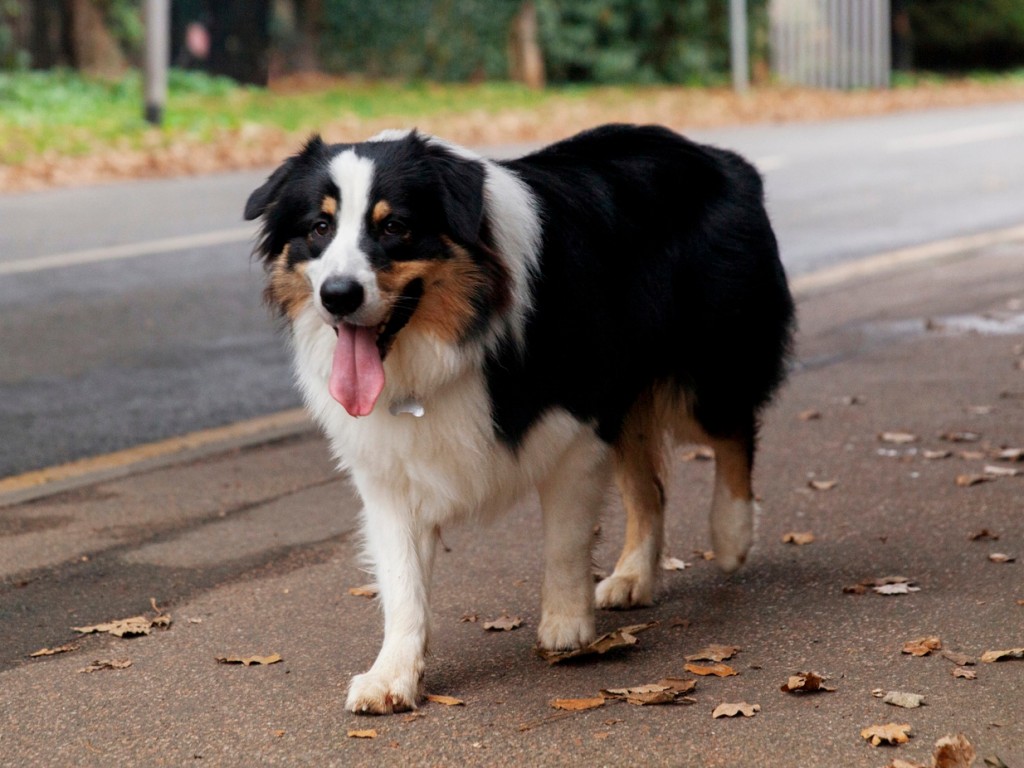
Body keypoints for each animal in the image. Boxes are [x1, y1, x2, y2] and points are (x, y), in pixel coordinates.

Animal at [243, 123, 794, 720]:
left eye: (394, 227)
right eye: (319, 228)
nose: (338, 296)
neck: (455, 338)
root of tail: (717, 155)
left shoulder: (576, 428)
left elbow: (565, 543)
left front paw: (566, 626)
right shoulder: (390, 468)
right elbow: (403, 582)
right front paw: (392, 674)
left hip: (703, 367)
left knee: (734, 430)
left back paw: (732, 533)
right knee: (651, 487)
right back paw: (633, 576)